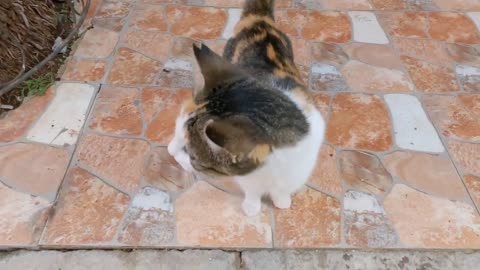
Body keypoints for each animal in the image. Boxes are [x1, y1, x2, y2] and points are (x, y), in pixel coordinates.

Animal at [169, 0, 326, 215]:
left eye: (191, 155)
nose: (169, 151)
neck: (273, 170)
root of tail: (260, 18)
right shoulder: (250, 179)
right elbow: (253, 190)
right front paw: (252, 206)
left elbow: (283, 189)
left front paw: (281, 199)